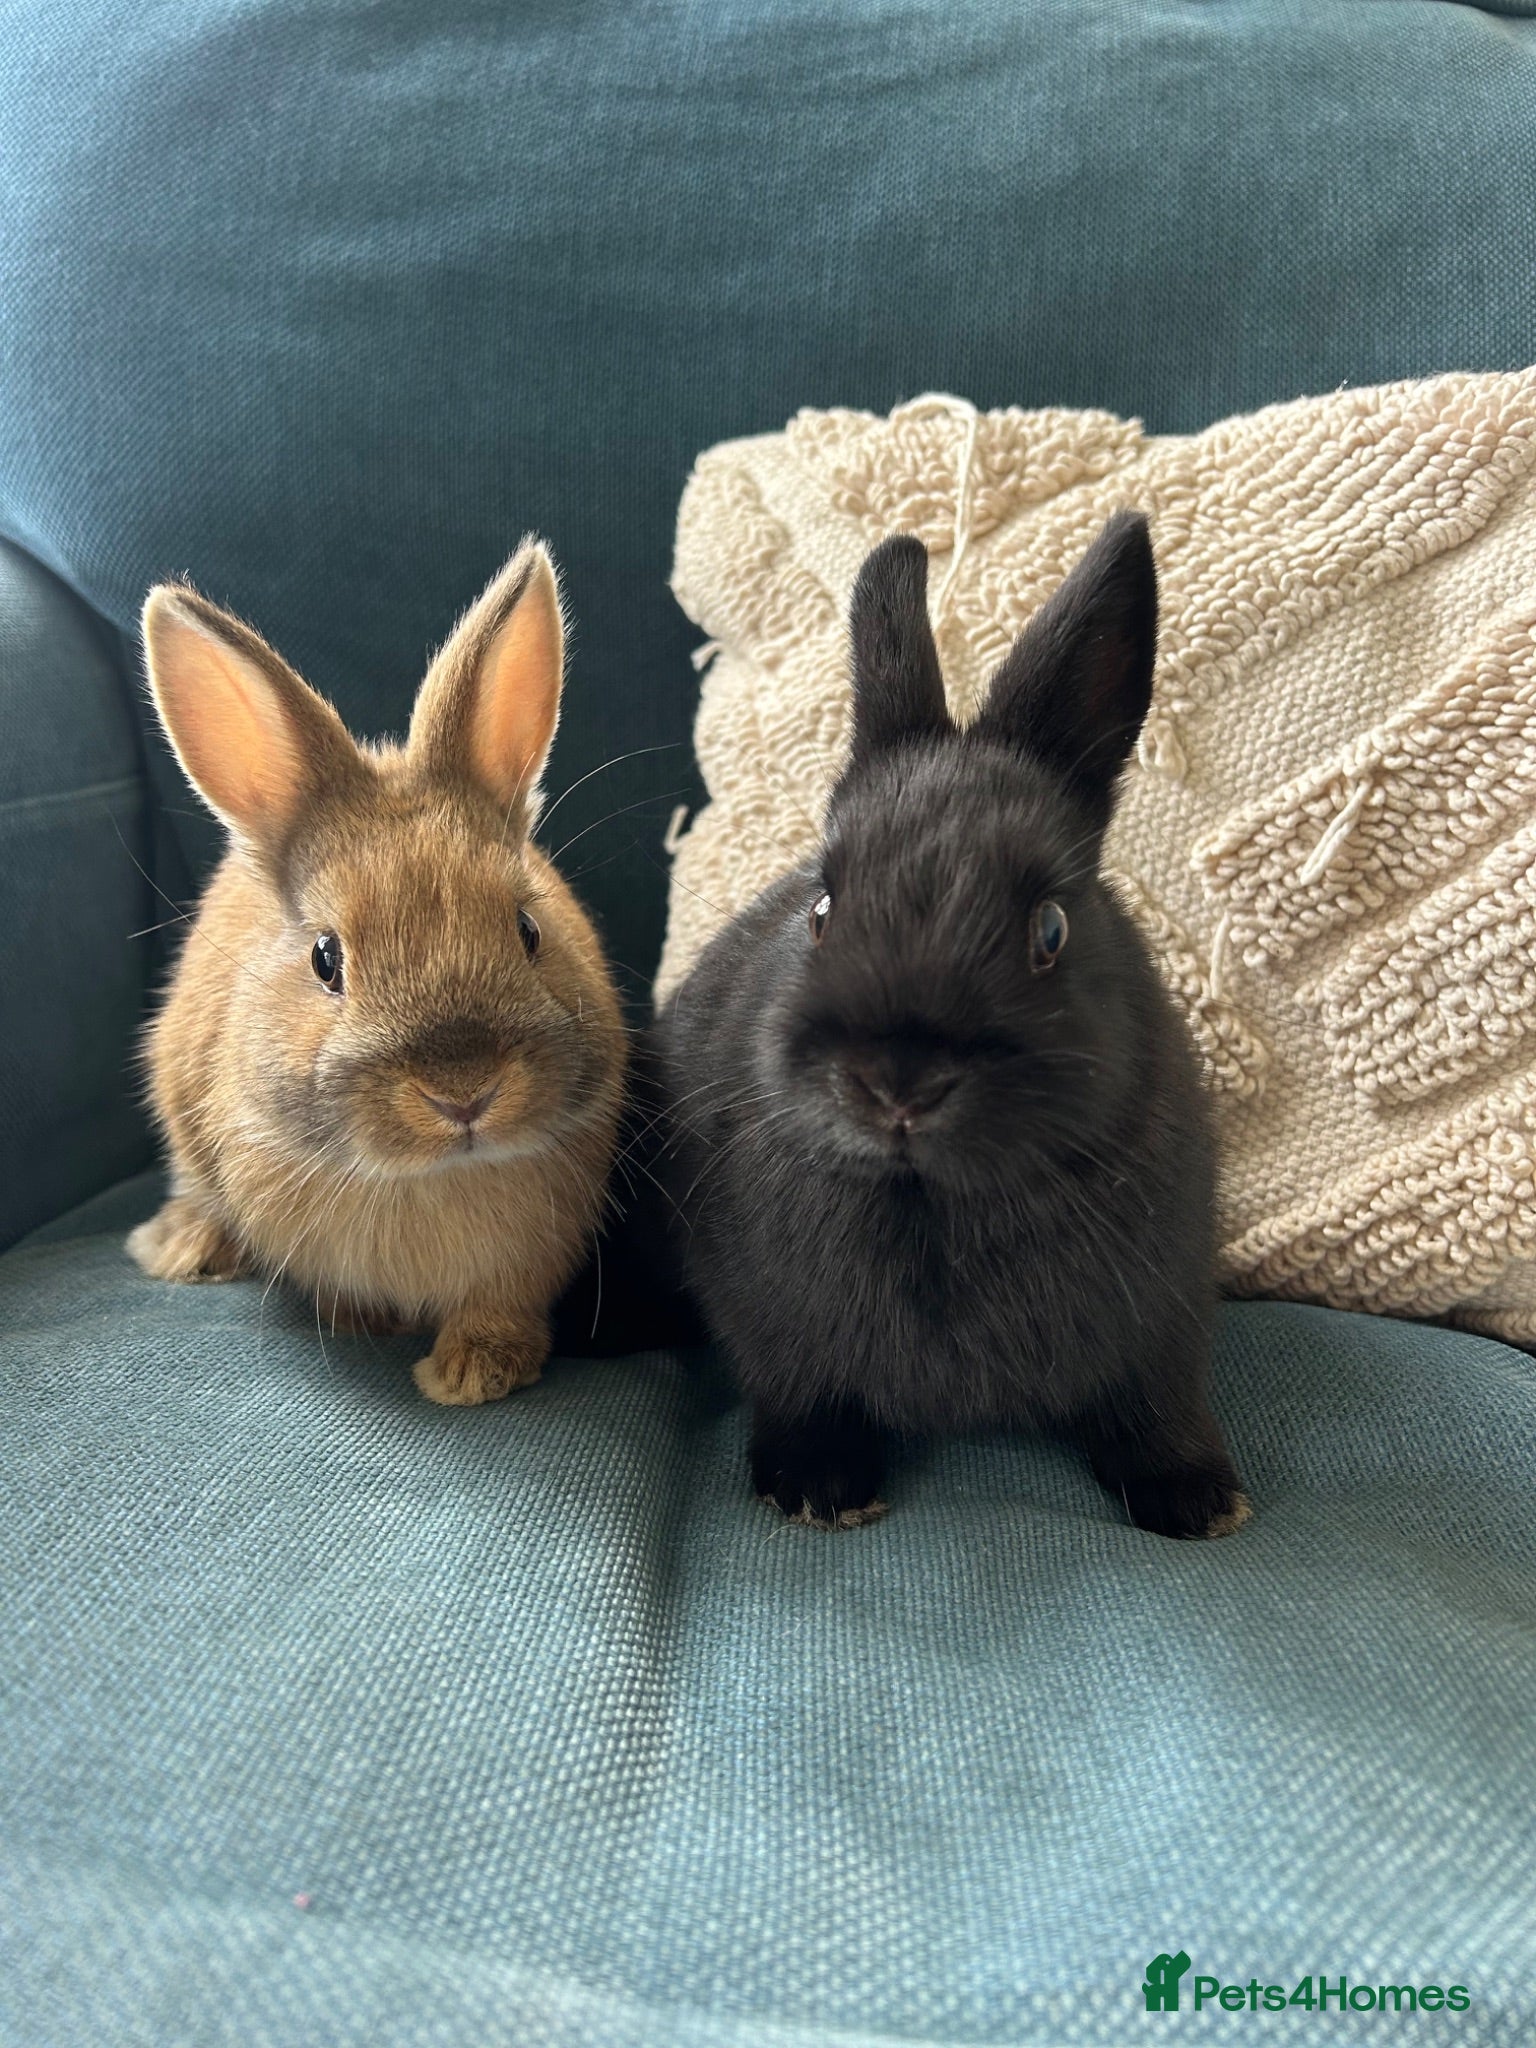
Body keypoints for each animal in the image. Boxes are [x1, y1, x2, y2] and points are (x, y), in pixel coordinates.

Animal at [127, 537, 627, 1406]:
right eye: (325, 959)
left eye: (529, 929)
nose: (463, 1092)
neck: (432, 1176)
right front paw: (375, 1326)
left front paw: (473, 1372)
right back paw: (182, 1250)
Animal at [656, 513, 1248, 1536]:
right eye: (821, 909)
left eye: (1050, 930)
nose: (898, 1083)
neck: (932, 1195)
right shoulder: (769, 1327)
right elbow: (798, 1390)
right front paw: (817, 1488)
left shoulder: (1166, 1315)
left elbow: (1156, 1403)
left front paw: (1198, 1501)